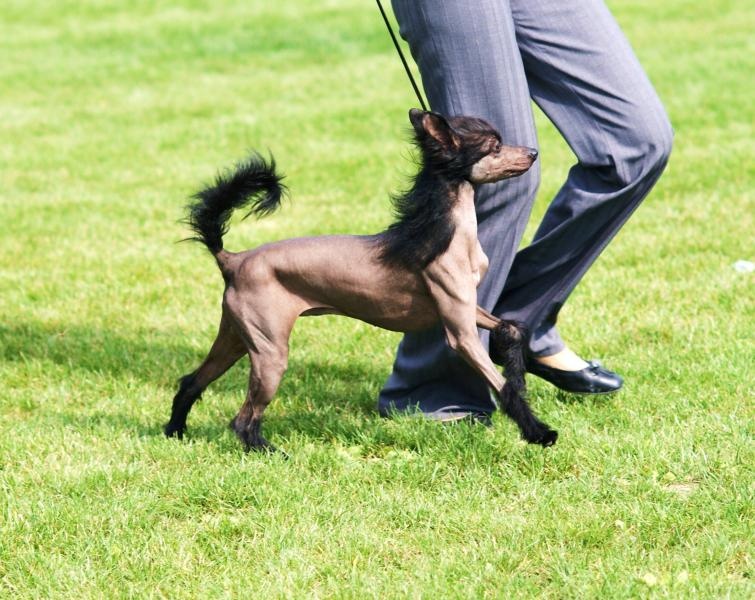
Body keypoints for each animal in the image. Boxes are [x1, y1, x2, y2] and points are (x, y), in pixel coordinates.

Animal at [165, 110, 560, 452]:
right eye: (494, 146)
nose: (533, 152)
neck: (443, 232)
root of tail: (234, 259)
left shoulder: (466, 308)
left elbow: (513, 329)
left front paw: (517, 364)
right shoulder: (459, 331)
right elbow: (502, 387)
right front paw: (538, 432)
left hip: (236, 337)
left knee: (192, 382)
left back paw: (175, 431)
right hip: (270, 354)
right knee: (244, 419)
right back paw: (266, 451)